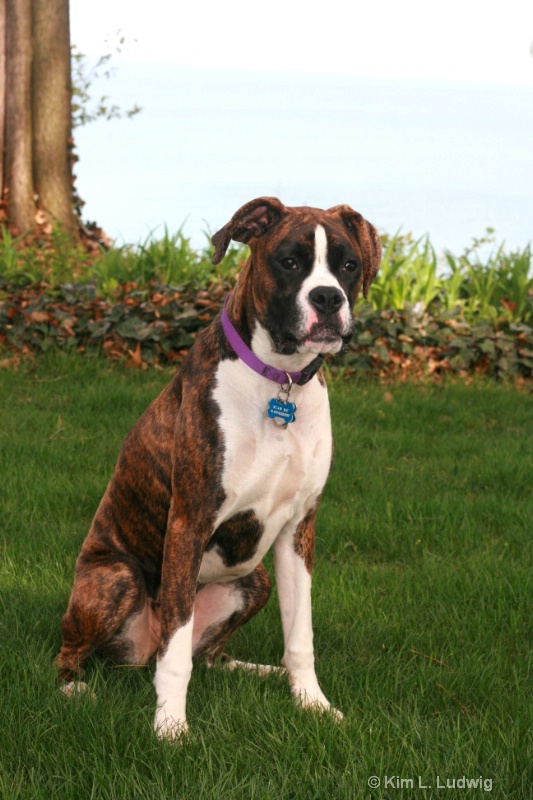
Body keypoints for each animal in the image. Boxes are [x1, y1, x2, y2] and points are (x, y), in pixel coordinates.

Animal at [56, 197, 380, 740]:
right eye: (289, 261)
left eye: (349, 265)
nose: (328, 298)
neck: (279, 381)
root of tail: (136, 651)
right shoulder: (190, 522)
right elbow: (175, 653)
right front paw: (170, 727)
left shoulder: (298, 531)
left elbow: (300, 635)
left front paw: (312, 704)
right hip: (116, 577)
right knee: (90, 650)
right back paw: (72, 688)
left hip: (255, 581)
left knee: (208, 654)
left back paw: (256, 671)